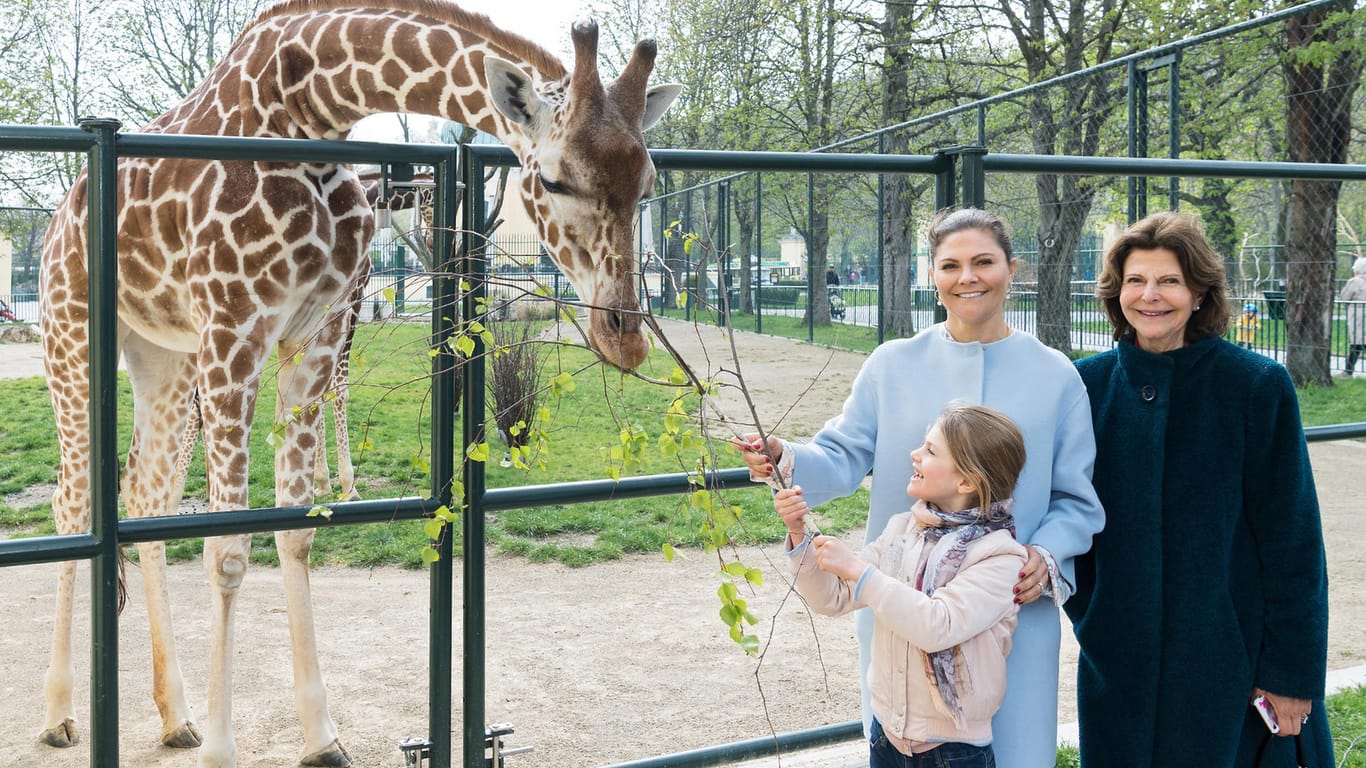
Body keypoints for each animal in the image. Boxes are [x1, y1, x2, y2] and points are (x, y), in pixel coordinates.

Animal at [39, 2, 680, 759]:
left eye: (648, 184)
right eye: (551, 180)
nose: (626, 337)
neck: (307, 113)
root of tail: (60, 216)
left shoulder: (312, 335)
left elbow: (296, 530)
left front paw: (320, 735)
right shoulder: (234, 330)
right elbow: (227, 549)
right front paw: (228, 749)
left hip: (161, 355)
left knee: (144, 497)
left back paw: (175, 716)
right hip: (73, 336)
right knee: (73, 504)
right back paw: (58, 714)